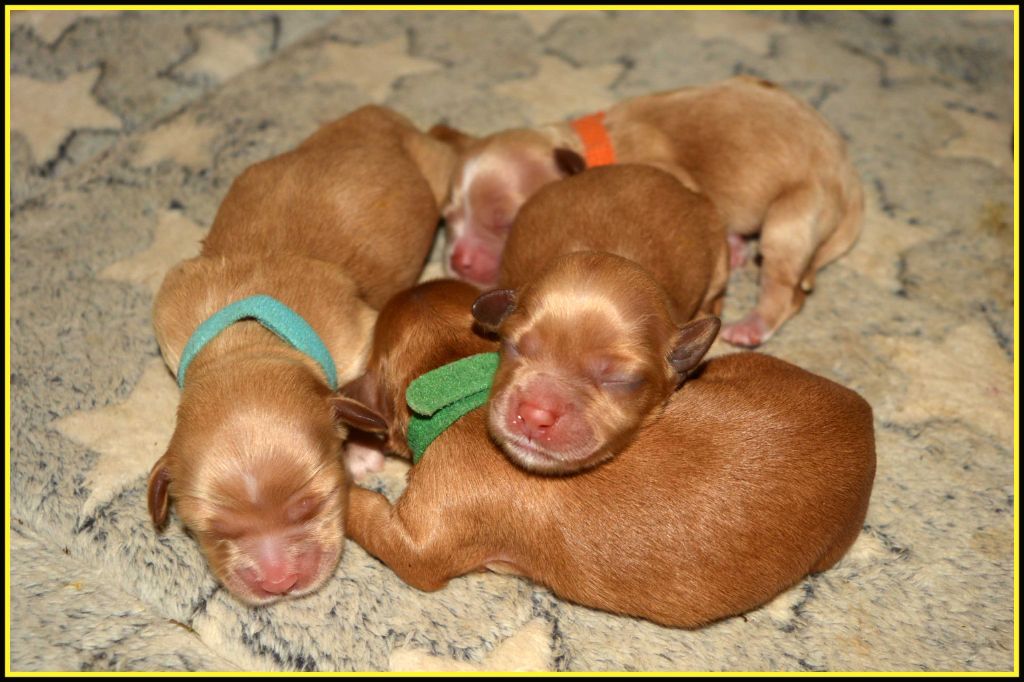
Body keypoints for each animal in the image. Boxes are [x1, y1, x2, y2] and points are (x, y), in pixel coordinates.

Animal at [148, 103, 456, 602]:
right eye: (215, 530)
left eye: (312, 504)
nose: (279, 583)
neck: (246, 342)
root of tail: (383, 116)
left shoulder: (358, 334)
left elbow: (357, 396)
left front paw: (360, 450)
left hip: (435, 166)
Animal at [432, 76, 864, 348]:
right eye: (448, 219)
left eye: (504, 220)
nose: (457, 261)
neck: (590, 148)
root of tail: (850, 179)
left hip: (793, 215)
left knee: (785, 290)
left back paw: (752, 324)